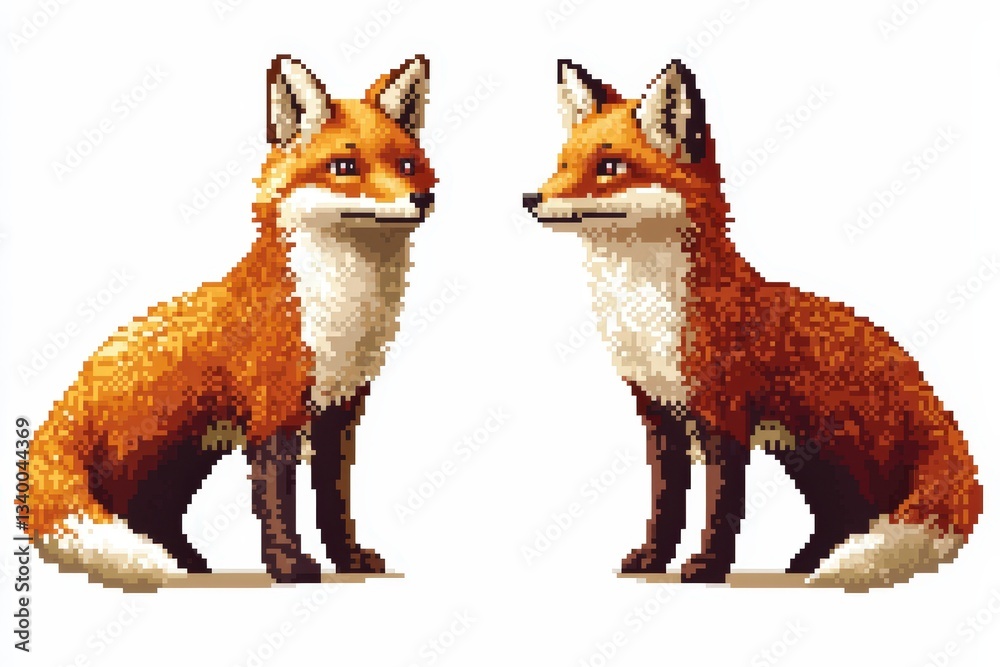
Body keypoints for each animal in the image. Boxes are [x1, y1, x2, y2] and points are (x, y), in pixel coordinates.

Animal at [27, 54, 436, 589]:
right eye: (345, 167)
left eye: (408, 165)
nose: (421, 199)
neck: (340, 313)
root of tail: (75, 388)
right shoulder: (274, 412)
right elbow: (277, 502)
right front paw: (289, 567)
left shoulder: (341, 413)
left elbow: (334, 503)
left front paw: (347, 560)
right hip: (147, 458)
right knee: (130, 517)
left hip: (185, 461)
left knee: (155, 517)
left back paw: (192, 566)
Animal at [523, 59, 983, 590]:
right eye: (561, 163)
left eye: (611, 167)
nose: (529, 197)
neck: (646, 317)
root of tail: (932, 398)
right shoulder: (658, 416)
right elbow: (665, 504)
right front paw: (654, 559)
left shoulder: (724, 416)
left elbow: (721, 505)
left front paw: (707, 567)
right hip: (806, 458)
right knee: (840, 518)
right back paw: (805, 565)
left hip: (839, 453)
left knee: (861, 519)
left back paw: (820, 569)